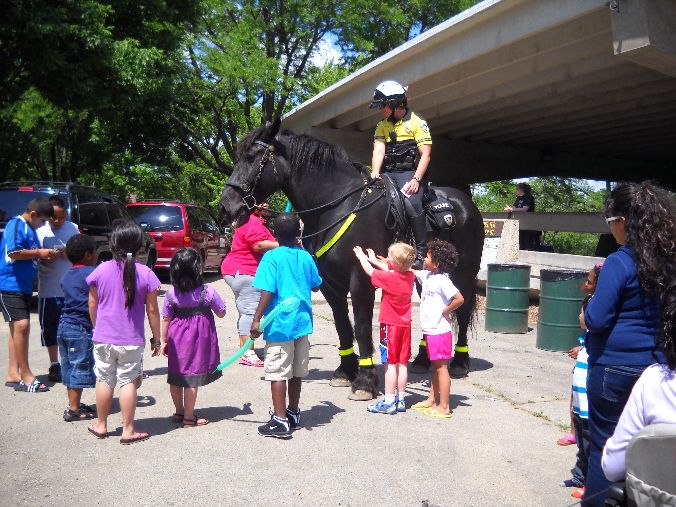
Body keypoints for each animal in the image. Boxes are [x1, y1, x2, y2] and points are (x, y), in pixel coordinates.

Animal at [219, 120, 484, 400]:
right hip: (426, 277)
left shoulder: (360, 279)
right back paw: (423, 359)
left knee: (462, 310)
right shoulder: (329, 283)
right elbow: (342, 326)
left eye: (251, 157)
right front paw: (345, 371)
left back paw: (459, 363)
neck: (337, 205)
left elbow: (362, 327)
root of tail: (464, 202)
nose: (225, 207)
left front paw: (365, 380)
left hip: (464, 273)